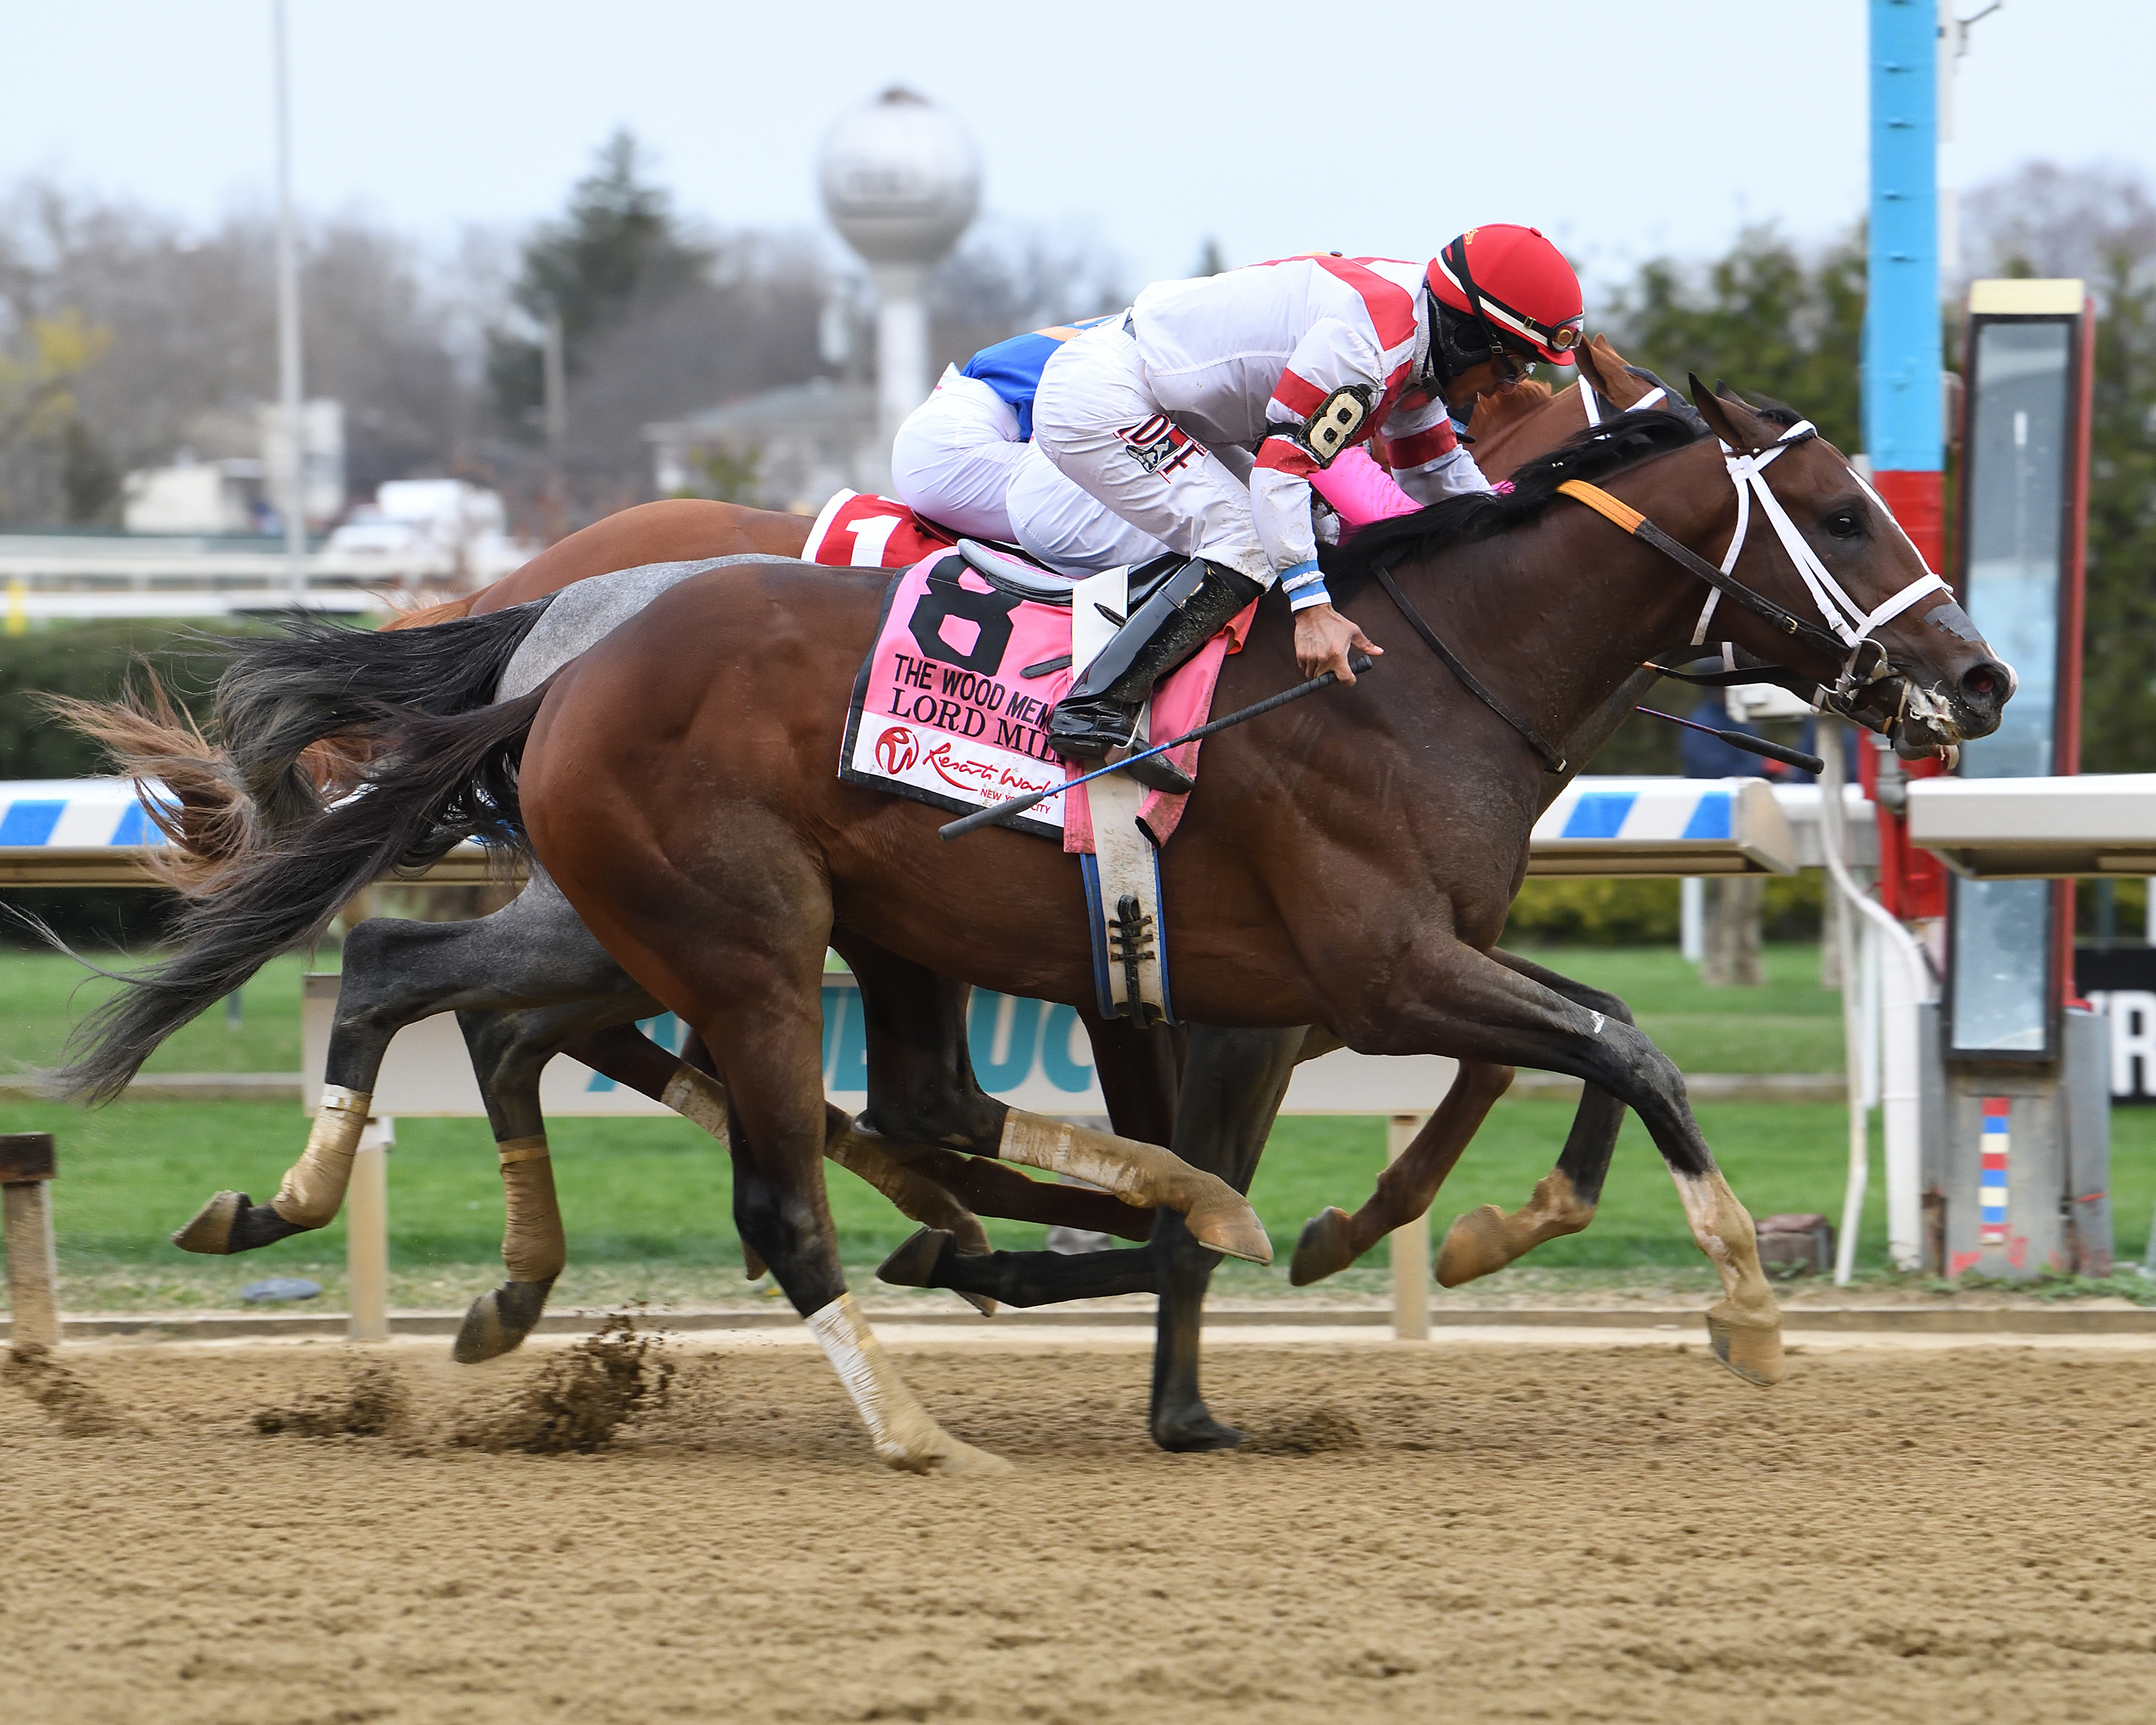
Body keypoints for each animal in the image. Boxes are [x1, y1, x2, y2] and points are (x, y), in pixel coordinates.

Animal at [67, 382, 2009, 1466]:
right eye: (1843, 511)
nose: (1979, 678)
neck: (1410, 673)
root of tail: (557, 639)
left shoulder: (1353, 972)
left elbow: (1575, 1055)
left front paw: (1356, 1268)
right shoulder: (1357, 972)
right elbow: (1622, 1044)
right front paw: (1739, 1306)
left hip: (730, 921)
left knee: (445, 986)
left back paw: (351, 1218)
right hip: (735, 933)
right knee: (730, 1119)